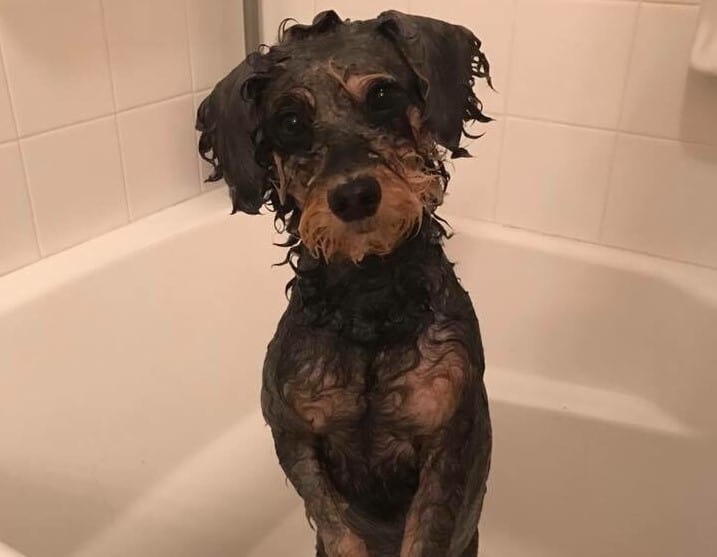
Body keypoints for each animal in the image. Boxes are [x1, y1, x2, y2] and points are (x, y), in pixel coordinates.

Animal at [196, 9, 492, 556]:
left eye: (382, 96)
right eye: (290, 122)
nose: (354, 195)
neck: (370, 308)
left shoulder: (445, 444)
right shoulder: (292, 435)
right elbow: (336, 527)